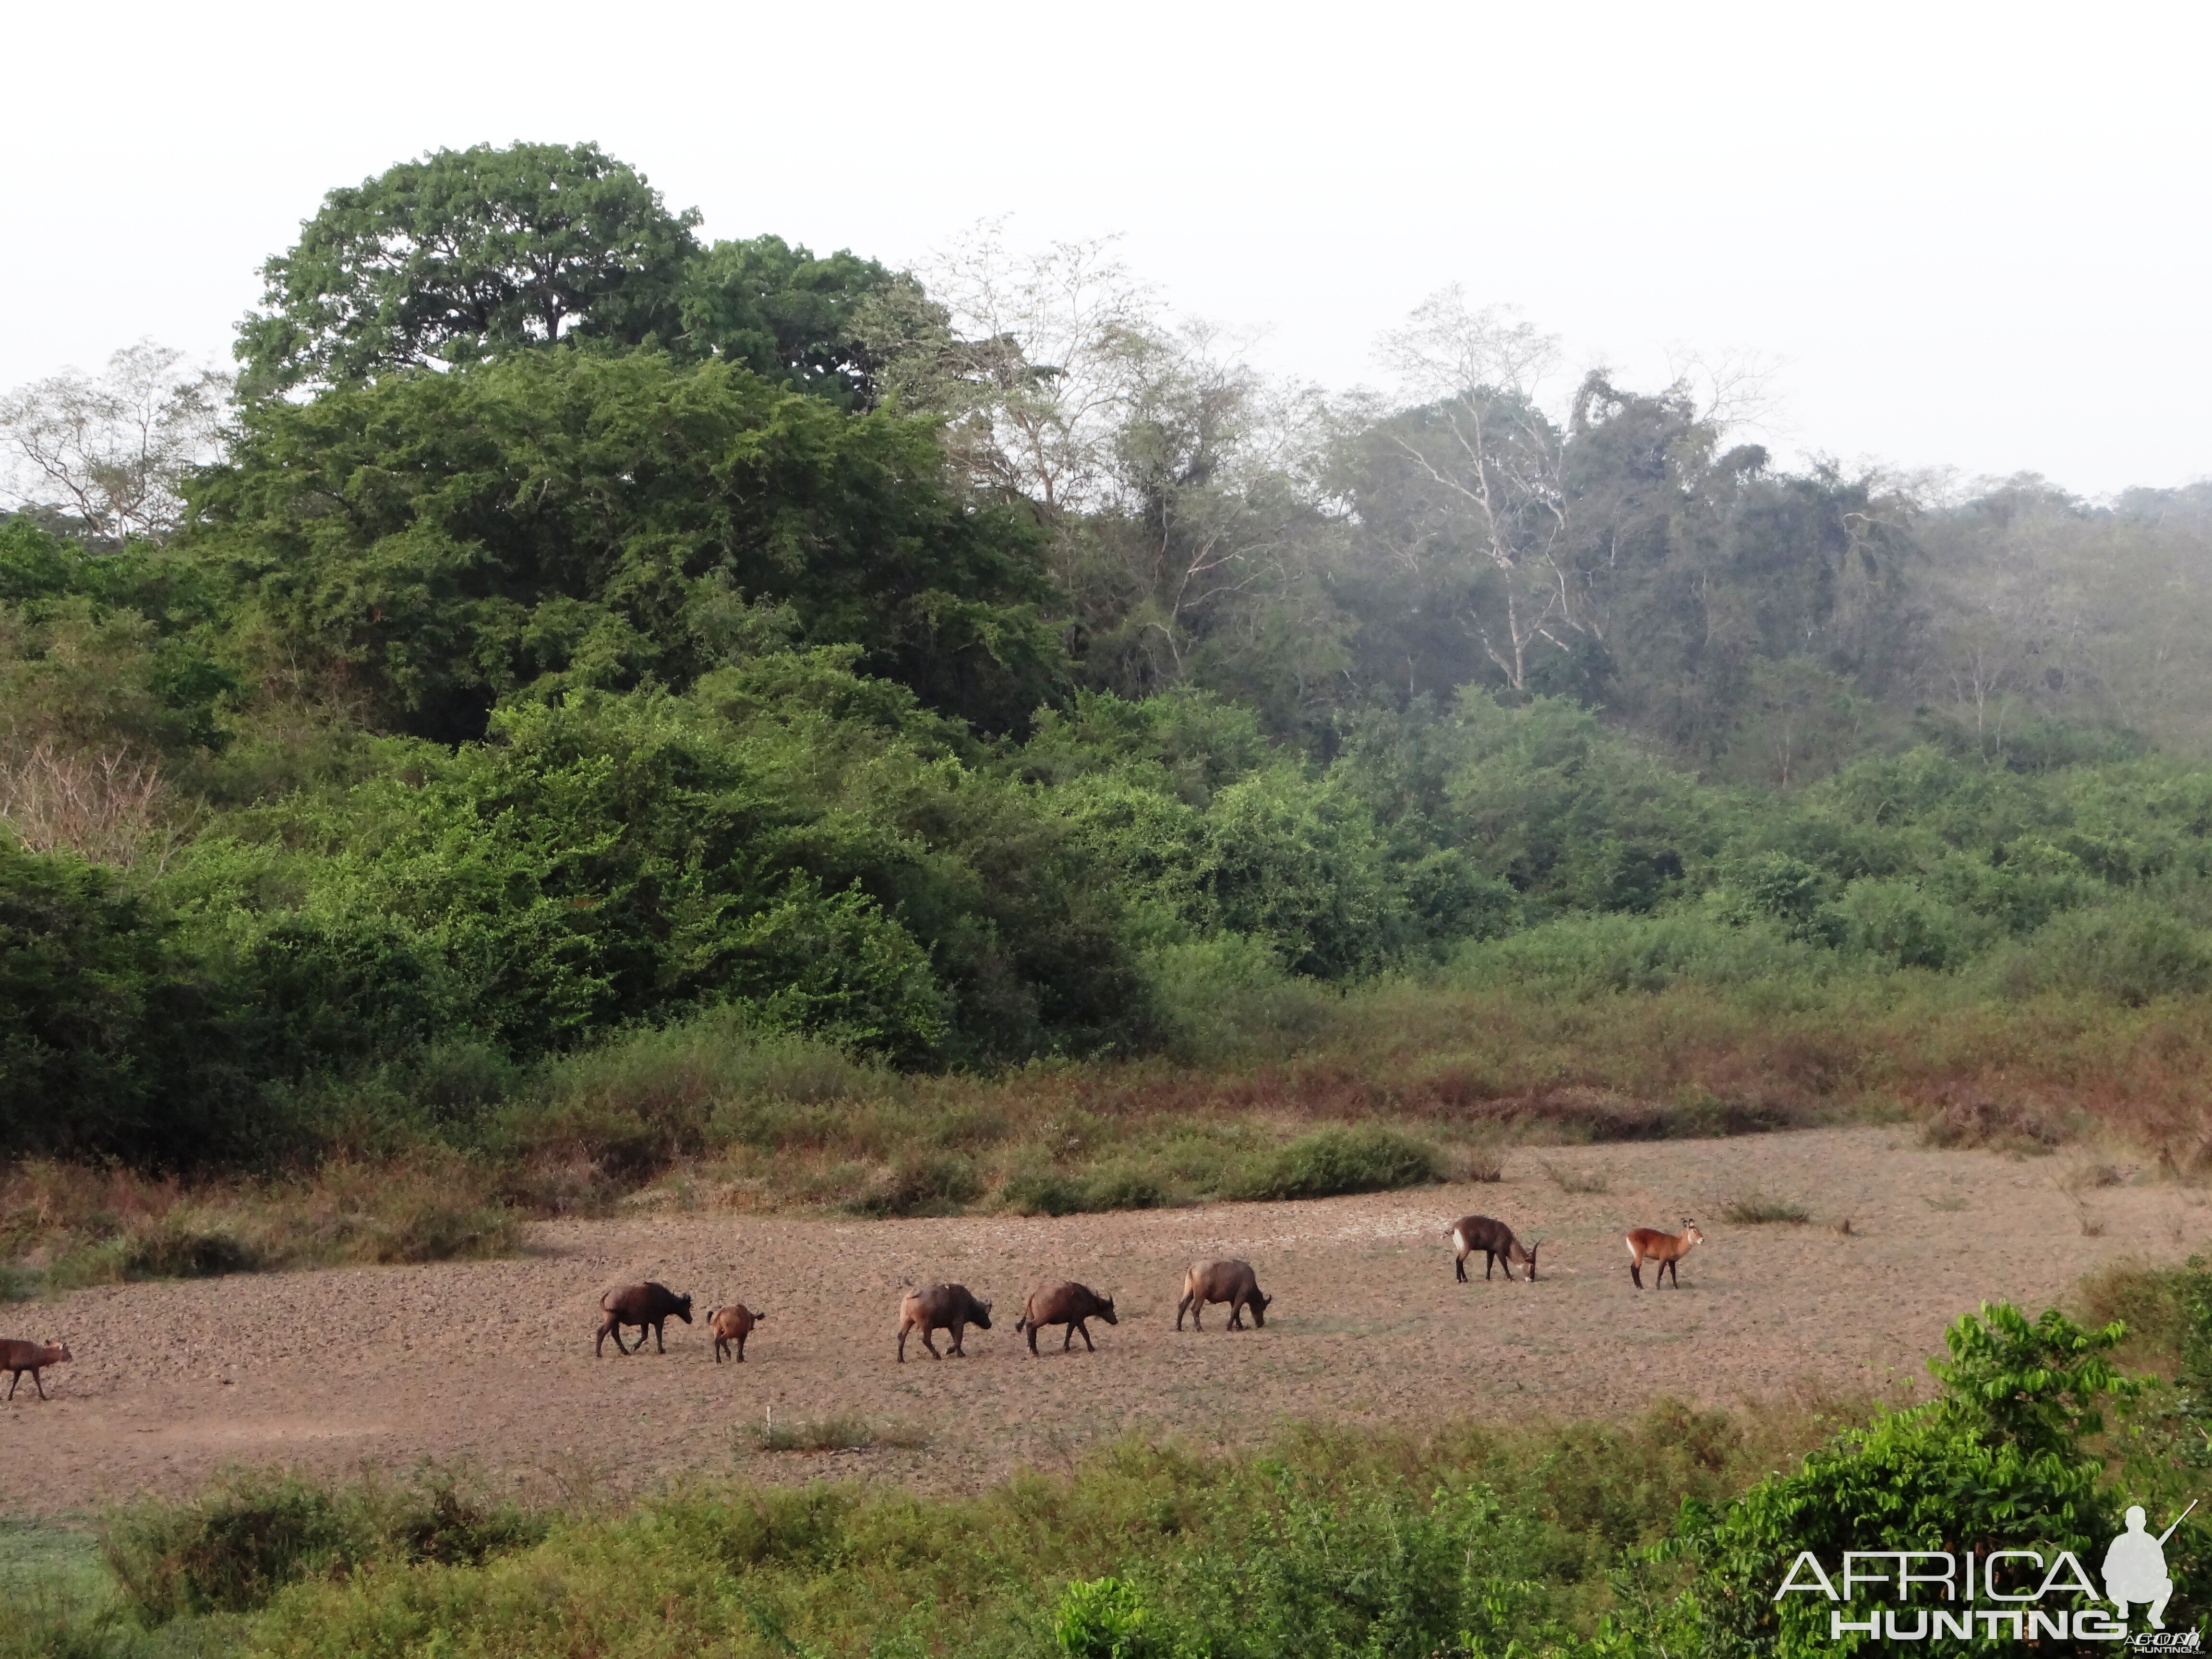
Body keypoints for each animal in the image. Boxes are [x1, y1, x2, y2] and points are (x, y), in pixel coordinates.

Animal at [1451, 1221, 1539, 1283]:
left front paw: (1488, 1278)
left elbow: (1489, 1264)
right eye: (1531, 1266)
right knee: (1459, 1261)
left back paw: (1465, 1279)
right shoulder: (1500, 1252)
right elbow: (1504, 1264)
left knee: (1460, 1261)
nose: (1532, 1280)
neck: (1509, 1241)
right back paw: (1460, 1280)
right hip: (1466, 1249)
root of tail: (1455, 1228)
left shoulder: (1491, 1251)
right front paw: (1511, 1278)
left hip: (1462, 1249)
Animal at [1628, 1230, 1707, 1292]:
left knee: (1633, 1268)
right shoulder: (1663, 1259)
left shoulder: (1671, 1261)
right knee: (1635, 1268)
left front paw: (1676, 1287)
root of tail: (1628, 1235)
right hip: (1639, 1256)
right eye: (1695, 1231)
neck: (1676, 1244)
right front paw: (1658, 1287)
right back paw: (1640, 1287)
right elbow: (1660, 1272)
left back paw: (1639, 1286)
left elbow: (1673, 1273)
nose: (1702, 1240)